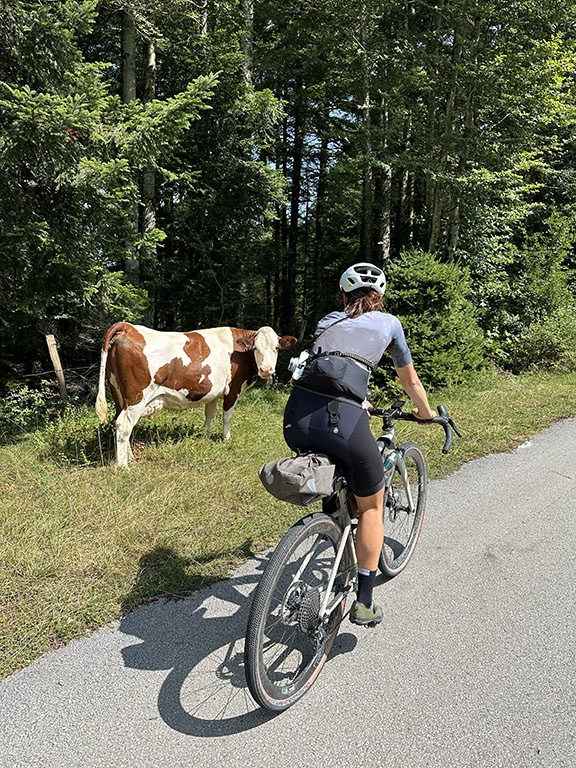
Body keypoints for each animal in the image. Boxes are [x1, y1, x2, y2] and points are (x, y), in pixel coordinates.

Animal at [95, 320, 296, 464]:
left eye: (276, 348)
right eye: (255, 348)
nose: (266, 369)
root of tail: (128, 328)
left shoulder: (214, 392)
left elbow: (210, 414)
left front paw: (205, 436)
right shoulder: (233, 389)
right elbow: (227, 416)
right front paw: (226, 438)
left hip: (119, 394)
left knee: (119, 423)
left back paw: (129, 458)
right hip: (136, 397)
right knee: (124, 426)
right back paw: (123, 466)